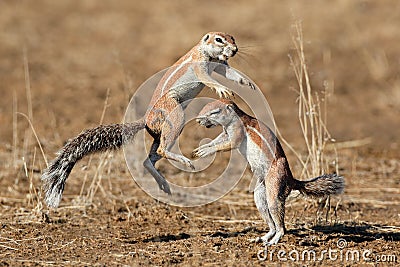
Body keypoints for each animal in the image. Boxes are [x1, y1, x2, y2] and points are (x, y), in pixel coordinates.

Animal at [42, 31, 255, 209]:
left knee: (149, 159)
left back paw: (164, 184)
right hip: (175, 115)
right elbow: (209, 79)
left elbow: (230, 73)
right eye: (219, 39)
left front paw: (246, 82)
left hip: (160, 134)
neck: (205, 51)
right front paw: (222, 89)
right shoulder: (200, 65)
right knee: (161, 150)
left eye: (233, 38)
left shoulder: (219, 64)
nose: (235, 50)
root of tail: (146, 119)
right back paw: (185, 162)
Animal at [194, 99, 344, 246]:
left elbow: (229, 144)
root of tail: (291, 180)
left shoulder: (237, 131)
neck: (235, 117)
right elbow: (219, 140)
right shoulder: (226, 133)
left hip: (275, 188)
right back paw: (262, 238)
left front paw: (207, 151)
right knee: (270, 220)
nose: (198, 121)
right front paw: (202, 148)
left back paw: (273, 241)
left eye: (214, 112)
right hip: (260, 193)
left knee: (281, 226)